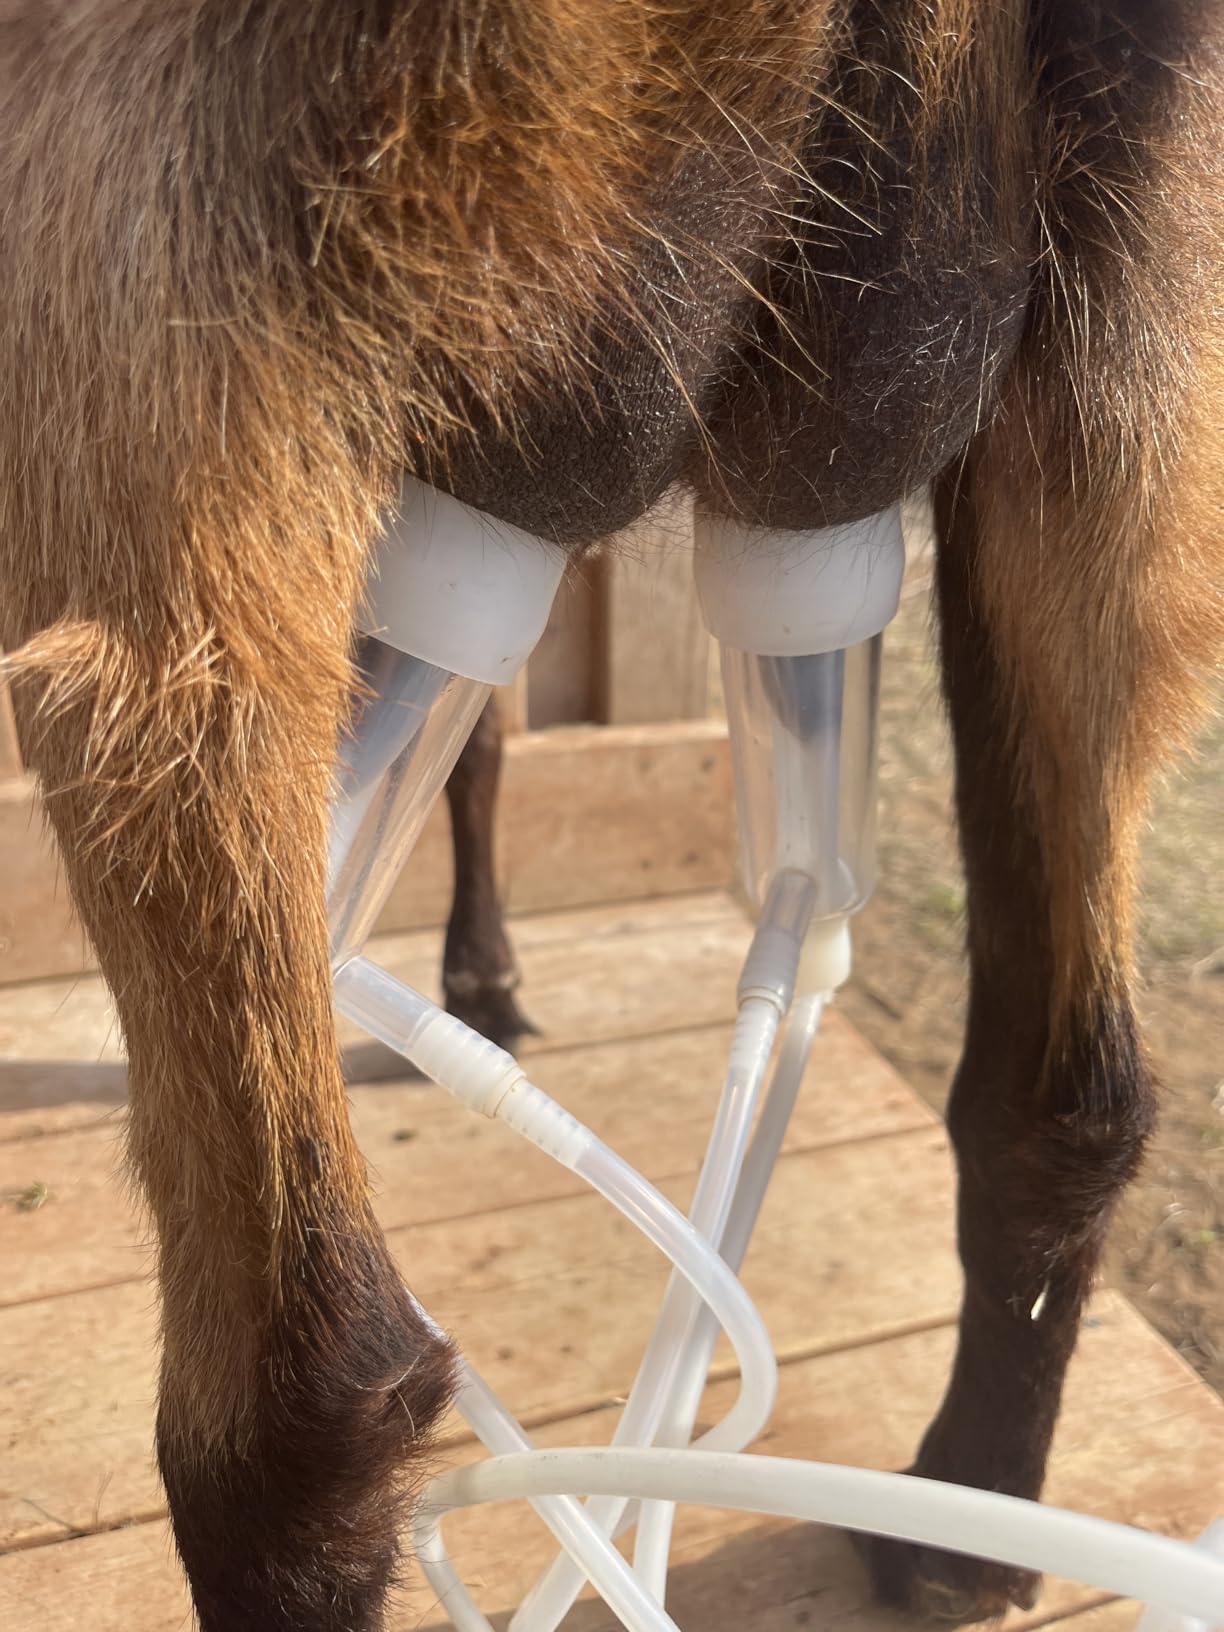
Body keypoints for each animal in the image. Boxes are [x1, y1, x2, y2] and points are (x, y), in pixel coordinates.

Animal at [2, 2, 1221, 1628]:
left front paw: (481, 976)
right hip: (1120, 372)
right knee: (1068, 1091)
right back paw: (961, 1523)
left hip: (162, 322)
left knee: (302, 1392)